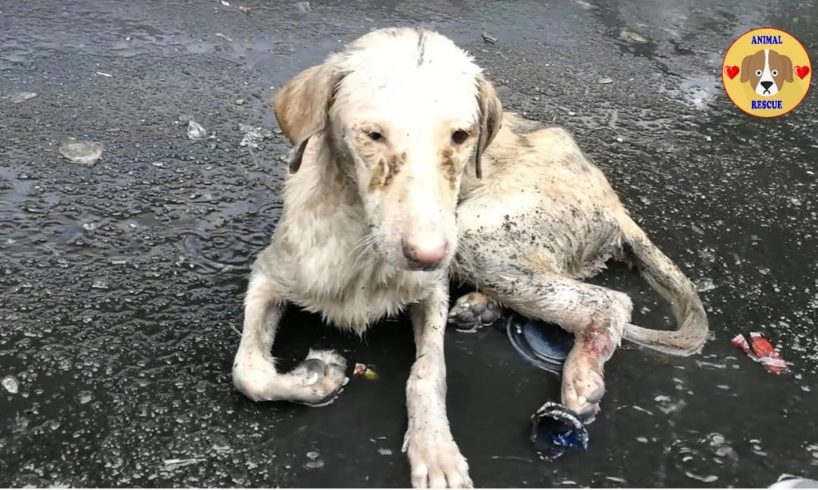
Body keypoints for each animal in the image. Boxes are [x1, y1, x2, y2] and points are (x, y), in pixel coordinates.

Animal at [231, 27, 708, 490]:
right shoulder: (268, 275)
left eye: (461, 136)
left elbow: (428, 374)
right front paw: (316, 377)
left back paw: (582, 372)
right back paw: (484, 307)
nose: (427, 255)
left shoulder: (432, 290)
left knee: (612, 302)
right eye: (373, 134)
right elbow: (248, 372)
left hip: (476, 232)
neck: (362, 246)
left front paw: (435, 448)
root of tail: (615, 201)